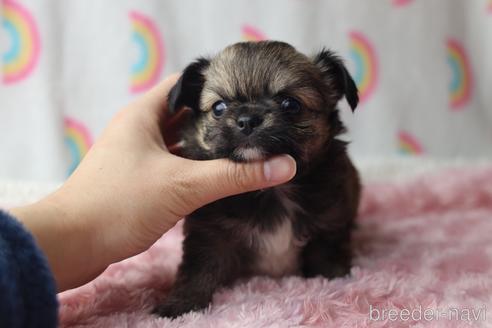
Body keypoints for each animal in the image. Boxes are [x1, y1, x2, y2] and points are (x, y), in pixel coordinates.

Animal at [155, 41, 362, 318]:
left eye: (290, 104)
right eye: (219, 108)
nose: (247, 120)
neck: (273, 190)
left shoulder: (330, 221)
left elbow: (327, 256)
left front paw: (337, 282)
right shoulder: (209, 233)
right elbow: (198, 269)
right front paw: (181, 304)